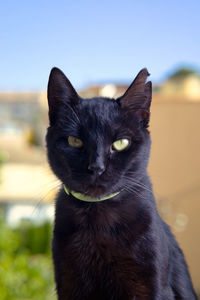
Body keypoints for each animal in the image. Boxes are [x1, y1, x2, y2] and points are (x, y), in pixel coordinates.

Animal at [45, 67, 197, 298]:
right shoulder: (69, 282)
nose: (96, 167)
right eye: (75, 141)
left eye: (121, 143)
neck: (98, 222)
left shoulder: (152, 285)